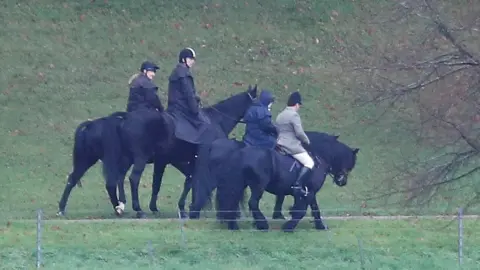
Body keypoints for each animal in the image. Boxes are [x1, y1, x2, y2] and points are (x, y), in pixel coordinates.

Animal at [57, 85, 256, 218]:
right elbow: (194, 181)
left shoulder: (168, 162)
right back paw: (137, 209)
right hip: (138, 158)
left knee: (80, 179)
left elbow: (164, 183)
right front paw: (190, 207)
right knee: (131, 179)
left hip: (93, 159)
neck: (216, 120)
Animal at [189, 131, 358, 232]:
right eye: (349, 161)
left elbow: (314, 209)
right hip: (257, 185)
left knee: (231, 202)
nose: (342, 181)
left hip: (238, 184)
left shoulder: (309, 192)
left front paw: (320, 225)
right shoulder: (308, 191)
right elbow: (302, 210)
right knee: (251, 203)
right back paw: (261, 224)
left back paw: (233, 225)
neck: (317, 157)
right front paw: (289, 226)